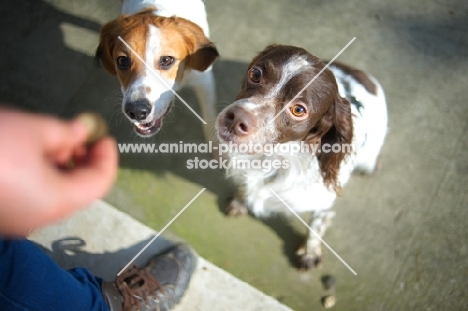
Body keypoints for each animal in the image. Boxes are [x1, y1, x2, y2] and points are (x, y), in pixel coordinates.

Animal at [216, 44, 388, 270]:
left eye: (299, 109)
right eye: (256, 73)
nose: (236, 119)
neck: (275, 157)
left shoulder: (323, 200)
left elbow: (317, 224)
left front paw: (309, 252)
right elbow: (246, 188)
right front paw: (240, 201)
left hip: (369, 161)